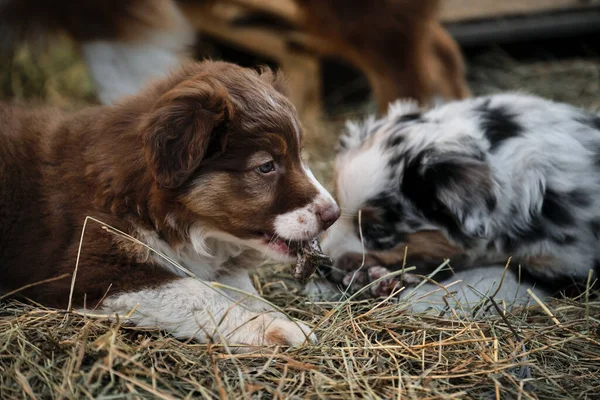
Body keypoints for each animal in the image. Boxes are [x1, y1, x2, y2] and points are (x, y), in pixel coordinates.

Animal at [0, 59, 340, 350]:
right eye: (266, 166)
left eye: (300, 155)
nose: (334, 215)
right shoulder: (91, 270)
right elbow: (195, 292)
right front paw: (276, 327)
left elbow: (240, 288)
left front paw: (274, 314)